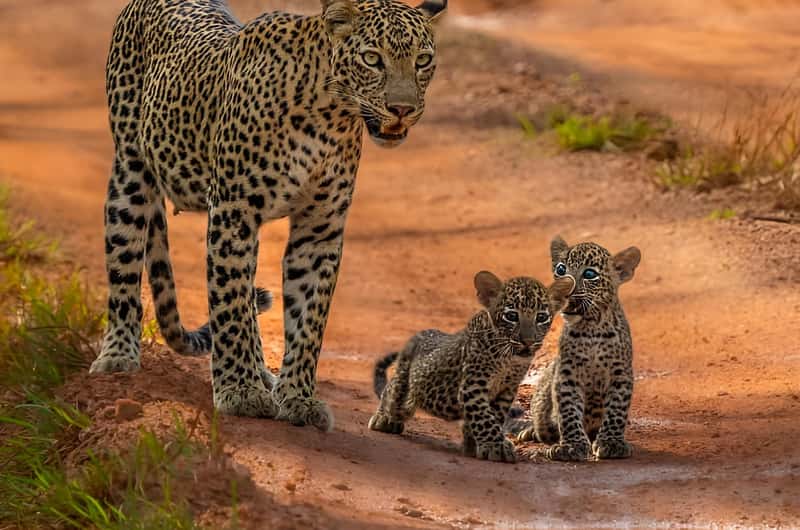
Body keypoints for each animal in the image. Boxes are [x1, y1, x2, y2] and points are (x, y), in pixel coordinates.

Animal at [89, 0, 447, 431]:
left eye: (423, 60)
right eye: (372, 59)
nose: (402, 110)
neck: (329, 117)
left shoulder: (319, 230)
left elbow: (309, 319)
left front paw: (298, 398)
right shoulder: (234, 211)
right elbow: (230, 306)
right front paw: (239, 391)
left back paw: (265, 373)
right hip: (130, 171)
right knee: (125, 269)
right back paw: (118, 355)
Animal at [368, 271, 573, 462]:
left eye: (541, 317)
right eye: (511, 316)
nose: (528, 342)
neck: (509, 359)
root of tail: (418, 335)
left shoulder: (506, 390)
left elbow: (494, 416)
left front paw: (473, 444)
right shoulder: (473, 384)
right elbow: (484, 417)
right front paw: (496, 446)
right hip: (404, 387)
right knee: (391, 392)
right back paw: (383, 419)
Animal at [511, 236, 641, 461]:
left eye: (589, 274)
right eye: (561, 269)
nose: (565, 288)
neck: (591, 330)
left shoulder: (621, 373)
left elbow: (616, 410)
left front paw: (611, 443)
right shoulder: (566, 374)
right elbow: (569, 411)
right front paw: (572, 446)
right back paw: (529, 432)